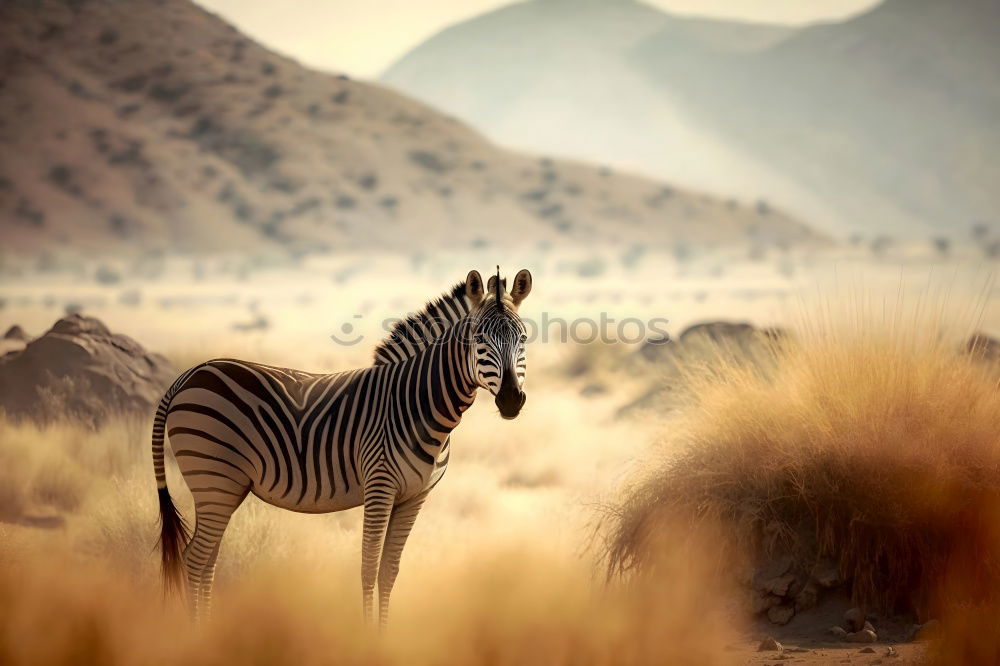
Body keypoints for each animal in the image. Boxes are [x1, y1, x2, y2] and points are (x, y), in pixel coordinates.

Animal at [152, 266, 532, 624]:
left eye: (524, 338)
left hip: (224, 487)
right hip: (213, 479)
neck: (418, 403)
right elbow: (368, 567)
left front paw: (383, 635)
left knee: (208, 561)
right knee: (195, 558)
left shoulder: (415, 496)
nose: (511, 400)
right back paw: (197, 634)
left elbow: (389, 571)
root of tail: (189, 375)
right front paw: (366, 637)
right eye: (479, 338)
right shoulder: (380, 486)